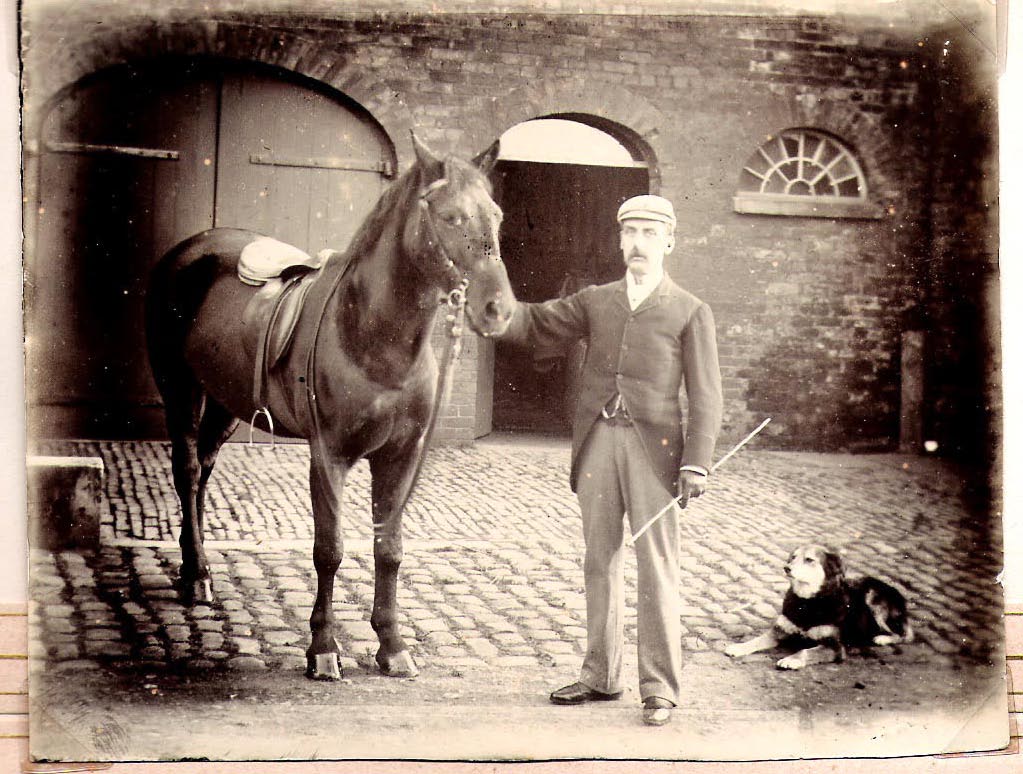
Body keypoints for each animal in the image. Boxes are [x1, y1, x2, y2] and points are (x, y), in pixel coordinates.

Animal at [146, 135, 511, 678]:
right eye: (449, 216)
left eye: (497, 214)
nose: (497, 309)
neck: (372, 337)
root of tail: (187, 249)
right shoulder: (329, 455)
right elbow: (330, 550)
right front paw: (323, 648)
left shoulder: (399, 458)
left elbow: (390, 549)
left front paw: (392, 646)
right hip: (180, 390)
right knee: (188, 470)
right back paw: (195, 578)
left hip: (227, 402)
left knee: (205, 469)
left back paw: (198, 567)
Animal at [724, 539, 916, 666]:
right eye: (793, 557)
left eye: (809, 560)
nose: (787, 568)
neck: (808, 602)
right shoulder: (778, 631)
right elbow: (756, 640)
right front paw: (739, 647)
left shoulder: (835, 647)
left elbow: (805, 652)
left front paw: (791, 660)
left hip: (873, 598)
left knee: (904, 635)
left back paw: (882, 638)